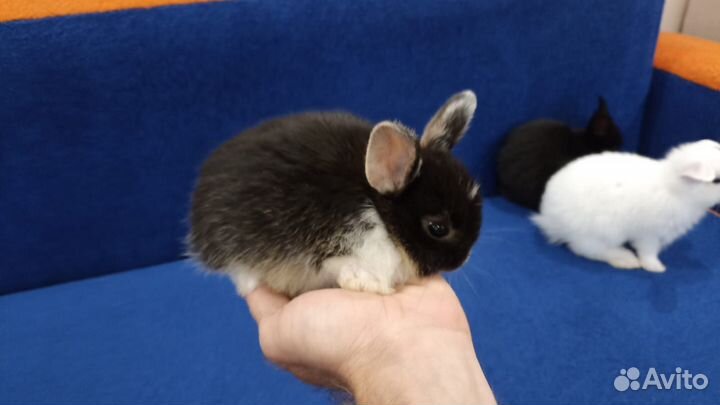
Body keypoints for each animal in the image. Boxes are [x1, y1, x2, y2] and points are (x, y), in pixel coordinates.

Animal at [532, 139, 720, 273]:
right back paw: (626, 259)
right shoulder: (649, 235)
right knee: (586, 249)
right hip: (601, 232)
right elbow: (648, 252)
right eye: (716, 180)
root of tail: (550, 219)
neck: (676, 189)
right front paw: (656, 268)